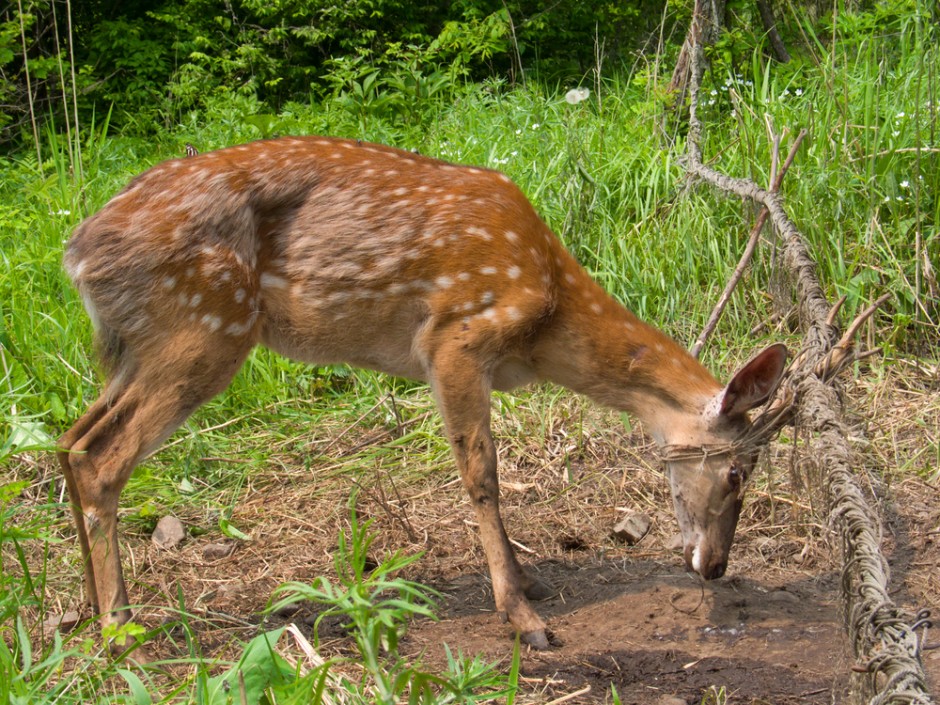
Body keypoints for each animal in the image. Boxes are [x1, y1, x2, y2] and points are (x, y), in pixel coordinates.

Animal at [60, 135, 784, 652]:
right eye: (738, 472)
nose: (716, 566)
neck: (547, 318)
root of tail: (77, 252)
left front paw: (531, 581)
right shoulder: (456, 336)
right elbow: (482, 473)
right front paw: (522, 617)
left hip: (143, 346)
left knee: (73, 441)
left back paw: (95, 617)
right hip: (205, 327)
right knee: (105, 457)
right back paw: (121, 632)